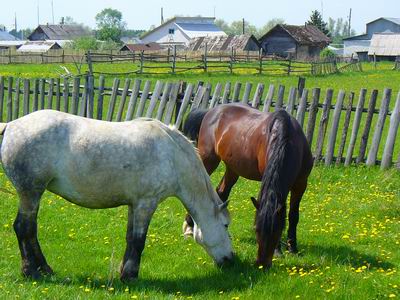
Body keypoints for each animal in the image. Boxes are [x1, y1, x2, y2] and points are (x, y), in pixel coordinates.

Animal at [0, 110, 233, 282]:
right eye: (225, 225)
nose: (230, 259)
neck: (172, 155)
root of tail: (11, 125)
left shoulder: (134, 204)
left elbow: (130, 238)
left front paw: (124, 271)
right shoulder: (146, 203)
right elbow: (139, 241)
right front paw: (130, 276)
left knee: (30, 231)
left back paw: (45, 269)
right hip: (30, 193)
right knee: (24, 228)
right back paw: (31, 271)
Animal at [183, 103, 314, 270]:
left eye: (278, 231)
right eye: (256, 229)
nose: (262, 264)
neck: (288, 139)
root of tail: (211, 111)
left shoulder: (301, 184)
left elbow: (293, 216)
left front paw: (293, 248)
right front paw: (280, 251)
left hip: (232, 168)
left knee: (221, 192)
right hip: (208, 159)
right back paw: (189, 226)